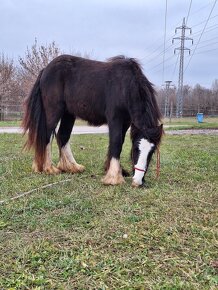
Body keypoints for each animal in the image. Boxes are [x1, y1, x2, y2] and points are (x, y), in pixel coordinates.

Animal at [22, 54, 163, 187]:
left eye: (152, 152)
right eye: (135, 149)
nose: (138, 182)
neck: (125, 86)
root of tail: (45, 70)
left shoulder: (127, 122)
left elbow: (120, 142)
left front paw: (116, 171)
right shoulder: (115, 118)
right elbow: (116, 142)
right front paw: (113, 178)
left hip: (69, 113)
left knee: (63, 135)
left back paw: (72, 167)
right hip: (54, 111)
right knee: (46, 135)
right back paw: (48, 168)